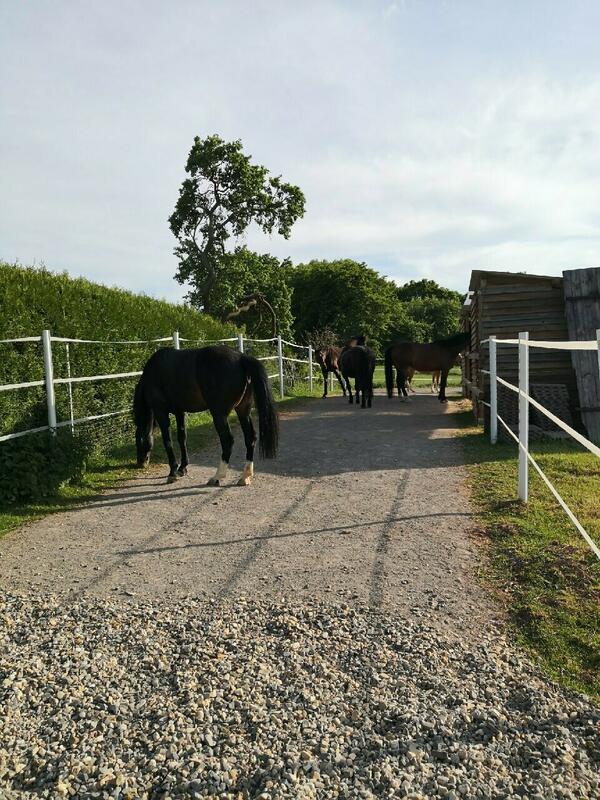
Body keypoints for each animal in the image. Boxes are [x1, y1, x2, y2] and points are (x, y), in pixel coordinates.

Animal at [133, 346, 279, 486]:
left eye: (138, 439)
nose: (140, 462)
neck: (154, 371)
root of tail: (240, 358)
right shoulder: (180, 412)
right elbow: (182, 438)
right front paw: (182, 468)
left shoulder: (161, 411)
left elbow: (167, 441)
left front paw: (173, 472)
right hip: (243, 411)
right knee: (250, 438)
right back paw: (245, 477)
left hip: (219, 414)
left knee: (227, 441)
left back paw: (217, 477)